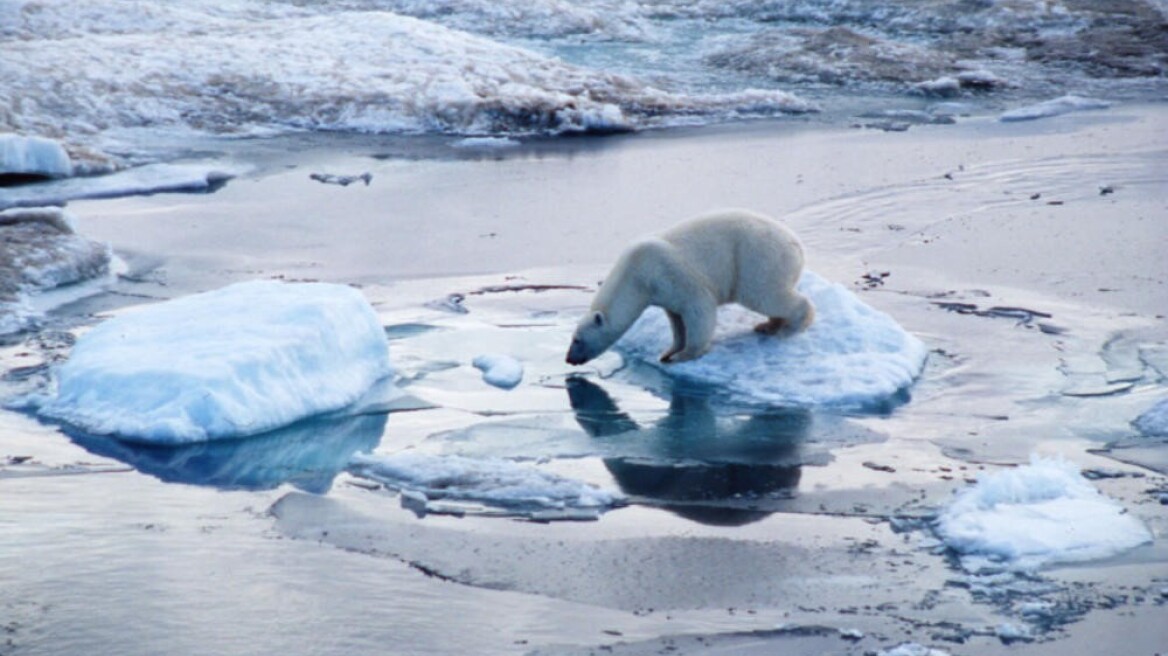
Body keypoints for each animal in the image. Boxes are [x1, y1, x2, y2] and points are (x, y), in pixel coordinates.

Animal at [565, 207, 812, 364]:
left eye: (577, 340)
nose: (568, 359)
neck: (636, 274)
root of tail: (797, 244)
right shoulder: (663, 292)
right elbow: (676, 320)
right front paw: (667, 352)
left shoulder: (670, 273)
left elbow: (698, 308)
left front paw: (685, 355)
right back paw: (767, 326)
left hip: (758, 258)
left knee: (765, 294)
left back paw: (790, 328)